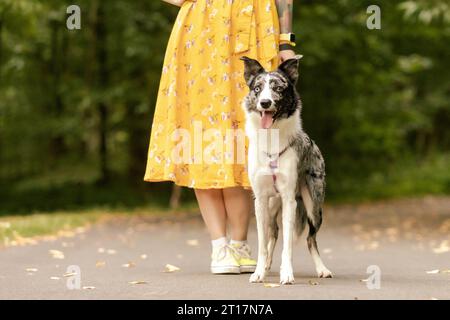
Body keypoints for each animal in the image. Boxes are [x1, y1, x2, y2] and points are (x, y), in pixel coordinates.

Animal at [241, 55, 332, 284]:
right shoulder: (260, 200)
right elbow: (263, 243)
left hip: (314, 206)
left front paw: (287, 273)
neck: (271, 138)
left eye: (278, 88)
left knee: (310, 238)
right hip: (272, 205)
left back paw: (322, 269)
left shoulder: (290, 200)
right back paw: (266, 266)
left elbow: (288, 244)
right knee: (273, 233)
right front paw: (259, 272)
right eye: (257, 88)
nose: (265, 102)